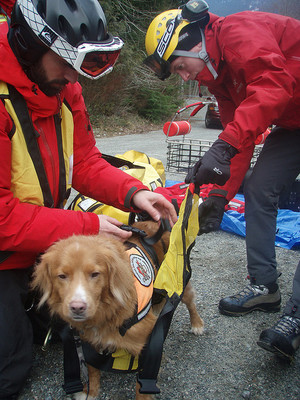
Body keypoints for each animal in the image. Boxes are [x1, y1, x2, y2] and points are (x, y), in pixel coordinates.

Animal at [32, 220, 204, 398]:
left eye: (95, 274)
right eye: (62, 276)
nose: (77, 307)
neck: (108, 314)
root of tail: (153, 222)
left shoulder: (148, 344)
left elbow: (142, 385)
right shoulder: (89, 342)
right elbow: (92, 369)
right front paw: (90, 392)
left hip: (179, 284)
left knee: (190, 302)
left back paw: (197, 324)